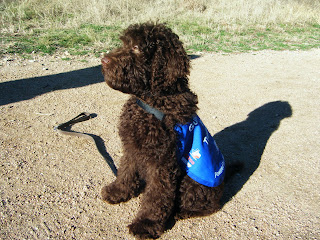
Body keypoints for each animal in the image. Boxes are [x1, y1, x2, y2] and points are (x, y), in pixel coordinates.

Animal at [101, 22, 224, 238]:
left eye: (137, 47)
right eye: (124, 43)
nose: (103, 60)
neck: (151, 102)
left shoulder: (162, 162)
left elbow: (156, 196)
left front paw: (146, 223)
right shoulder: (132, 147)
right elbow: (125, 171)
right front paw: (118, 192)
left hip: (191, 182)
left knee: (209, 205)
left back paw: (183, 212)